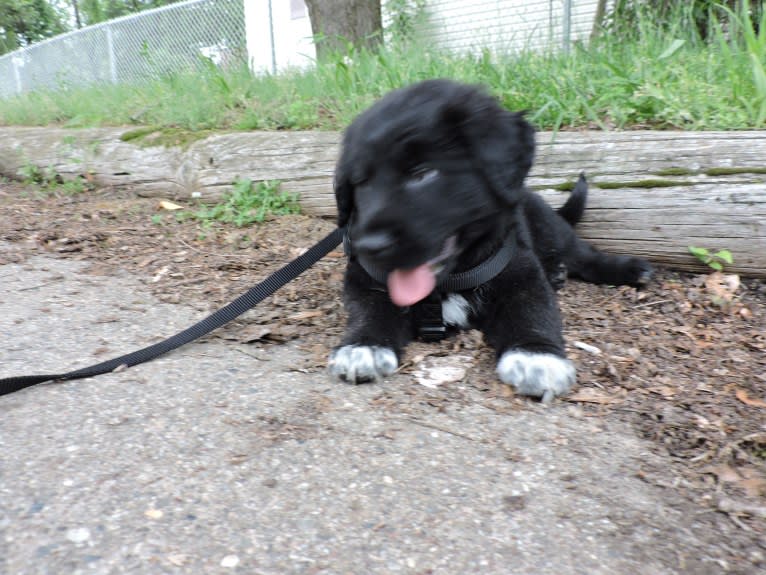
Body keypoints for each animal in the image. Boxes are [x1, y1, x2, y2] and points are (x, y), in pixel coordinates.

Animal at [330, 80, 656, 400]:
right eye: (360, 182)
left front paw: (536, 358)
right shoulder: (364, 278)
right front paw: (363, 346)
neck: (449, 279)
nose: (369, 246)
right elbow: (369, 310)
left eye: (423, 173)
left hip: (548, 224)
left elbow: (532, 310)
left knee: (582, 255)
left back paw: (628, 269)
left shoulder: (522, 273)